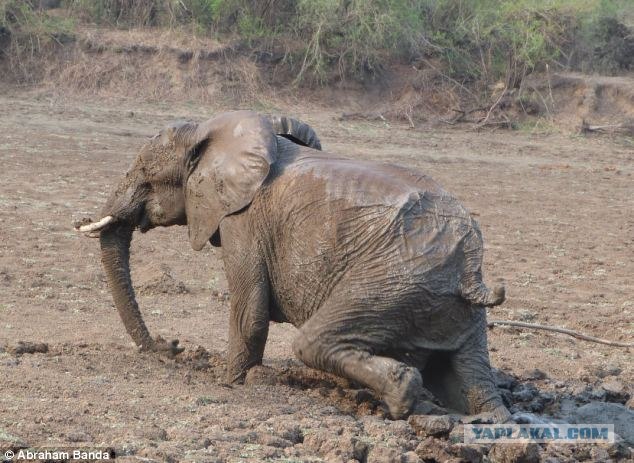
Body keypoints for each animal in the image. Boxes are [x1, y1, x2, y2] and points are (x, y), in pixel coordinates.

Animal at [75, 110, 508, 422]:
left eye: (145, 174)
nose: (170, 347)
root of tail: (470, 270)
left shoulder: (243, 219)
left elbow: (249, 313)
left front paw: (231, 384)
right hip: (448, 304)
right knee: (470, 377)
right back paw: (484, 419)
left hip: (395, 280)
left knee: (313, 342)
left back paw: (403, 397)